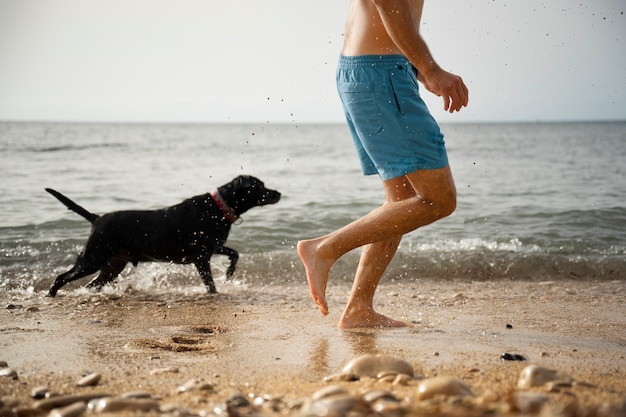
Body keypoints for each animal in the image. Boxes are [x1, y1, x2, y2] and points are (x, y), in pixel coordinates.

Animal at [44, 176, 278, 296]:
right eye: (260, 186)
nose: (278, 193)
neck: (219, 208)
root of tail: (97, 218)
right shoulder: (202, 257)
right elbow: (210, 283)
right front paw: (216, 292)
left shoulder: (212, 247)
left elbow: (234, 253)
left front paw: (229, 273)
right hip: (94, 256)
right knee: (61, 277)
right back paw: (51, 295)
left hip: (112, 265)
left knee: (92, 284)